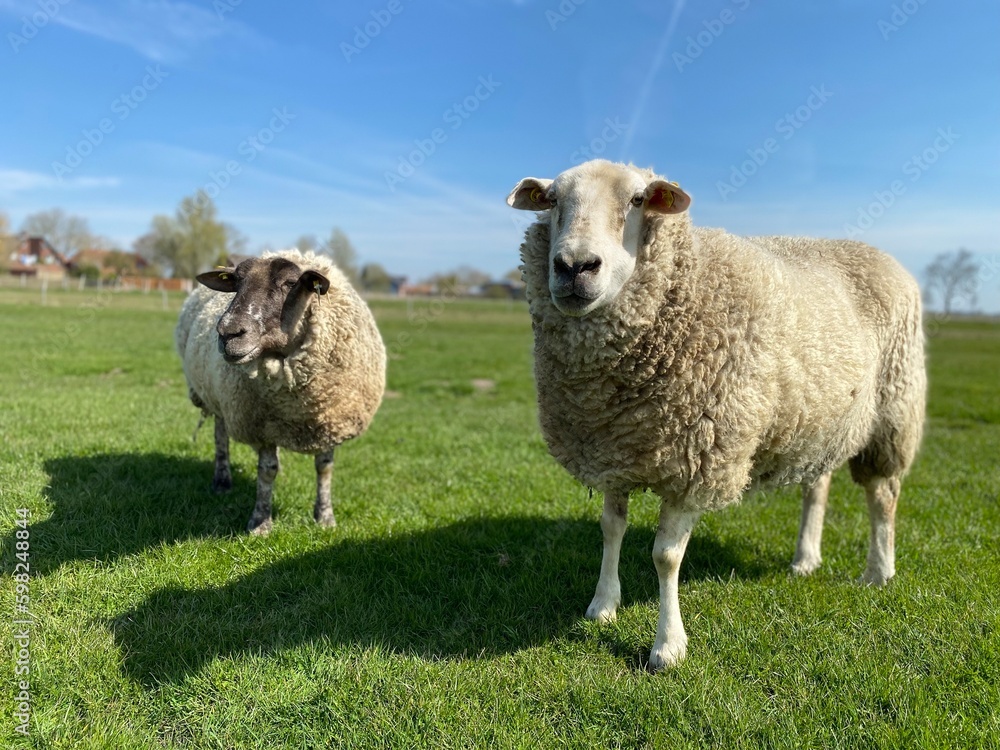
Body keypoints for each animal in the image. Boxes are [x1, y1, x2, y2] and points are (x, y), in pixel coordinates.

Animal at [176, 250, 386, 536]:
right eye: (236, 283)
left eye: (290, 283)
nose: (228, 333)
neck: (298, 402)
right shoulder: (262, 426)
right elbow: (267, 470)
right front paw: (260, 523)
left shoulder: (331, 421)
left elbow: (325, 468)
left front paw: (325, 516)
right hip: (217, 398)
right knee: (221, 436)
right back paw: (222, 479)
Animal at [512, 159, 924, 668]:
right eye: (552, 201)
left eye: (637, 200)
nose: (573, 266)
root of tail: (877, 253)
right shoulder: (615, 447)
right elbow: (611, 529)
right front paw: (602, 605)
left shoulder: (698, 459)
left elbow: (666, 556)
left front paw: (667, 645)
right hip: (820, 420)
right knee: (818, 488)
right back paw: (805, 559)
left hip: (892, 413)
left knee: (883, 496)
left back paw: (878, 571)